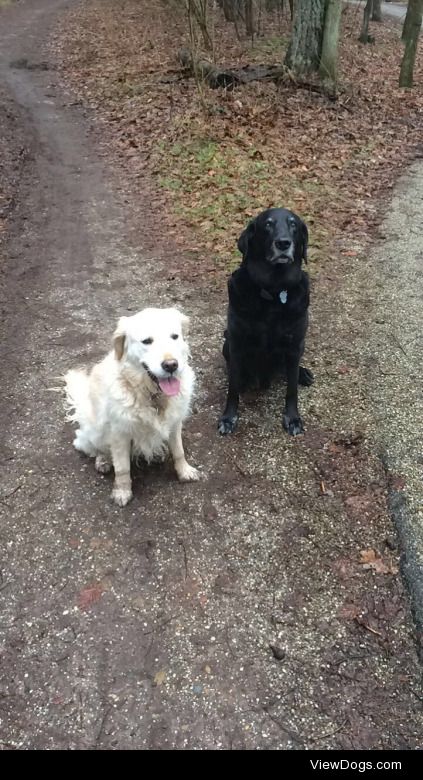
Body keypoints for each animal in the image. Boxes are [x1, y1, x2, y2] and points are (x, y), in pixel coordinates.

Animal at [64, 304, 200, 506]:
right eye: (147, 341)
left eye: (175, 336)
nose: (171, 365)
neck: (152, 395)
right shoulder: (119, 433)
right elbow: (122, 469)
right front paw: (122, 492)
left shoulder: (175, 423)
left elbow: (178, 451)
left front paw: (184, 471)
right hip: (95, 432)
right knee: (92, 447)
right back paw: (103, 461)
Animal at [220, 207, 314, 436]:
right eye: (268, 224)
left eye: (293, 224)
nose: (283, 243)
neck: (274, 290)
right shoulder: (236, 343)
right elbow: (232, 387)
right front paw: (228, 417)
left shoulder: (294, 344)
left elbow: (291, 389)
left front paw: (293, 418)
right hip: (226, 344)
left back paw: (303, 373)